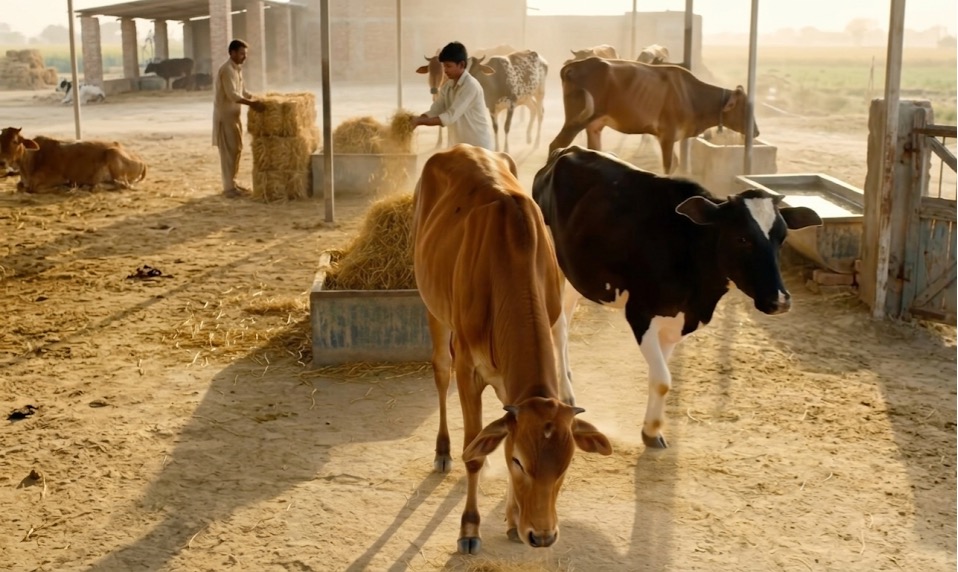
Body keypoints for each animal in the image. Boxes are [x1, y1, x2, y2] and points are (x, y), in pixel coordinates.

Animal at [0, 127, 147, 193]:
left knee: (123, 184)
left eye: (15, 141)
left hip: (113, 156)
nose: (2, 162)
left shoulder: (57, 178)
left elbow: (32, 188)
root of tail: (140, 158)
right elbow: (19, 186)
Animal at [413, 144, 612, 554]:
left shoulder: (513, 382)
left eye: (565, 466)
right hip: (431, 306)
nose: (543, 536)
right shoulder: (468, 370)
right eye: (520, 462)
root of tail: (460, 147)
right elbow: (474, 453)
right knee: (439, 371)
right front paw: (469, 529)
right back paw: (442, 451)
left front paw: (510, 521)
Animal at [532, 145, 822, 449]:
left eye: (782, 237)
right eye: (742, 238)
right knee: (559, 326)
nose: (780, 300)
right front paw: (652, 431)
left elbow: (659, 376)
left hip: (576, 274)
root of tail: (568, 149)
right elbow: (663, 379)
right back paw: (565, 393)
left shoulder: (677, 320)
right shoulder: (640, 313)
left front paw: (651, 430)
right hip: (553, 263)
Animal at [549, 57, 758, 174]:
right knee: (556, 145)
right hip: (575, 121)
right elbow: (668, 166)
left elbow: (675, 164)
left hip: (594, 126)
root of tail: (573, 66)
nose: (755, 132)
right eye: (745, 109)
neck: (691, 95)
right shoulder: (668, 135)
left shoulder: (665, 136)